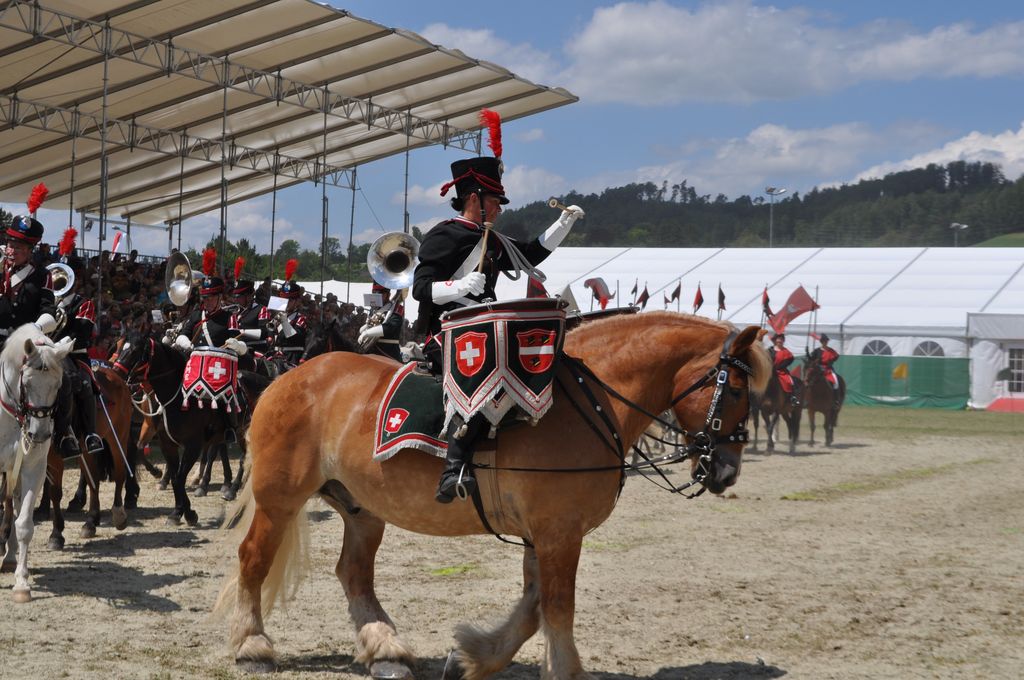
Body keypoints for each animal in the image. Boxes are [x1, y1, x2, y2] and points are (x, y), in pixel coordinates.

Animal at [0, 327, 73, 602]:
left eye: (58, 385)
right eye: (28, 382)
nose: (39, 434)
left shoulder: (33, 470)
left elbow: (24, 525)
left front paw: (22, 583)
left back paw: (10, 558)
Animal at [218, 315, 770, 680]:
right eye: (736, 390)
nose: (727, 469)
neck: (592, 403)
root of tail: (288, 377)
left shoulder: (542, 535)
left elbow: (532, 608)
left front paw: (474, 655)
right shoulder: (558, 533)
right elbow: (556, 606)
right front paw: (559, 669)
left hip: (362, 509)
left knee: (353, 573)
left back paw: (386, 649)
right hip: (280, 499)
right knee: (253, 559)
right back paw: (252, 645)